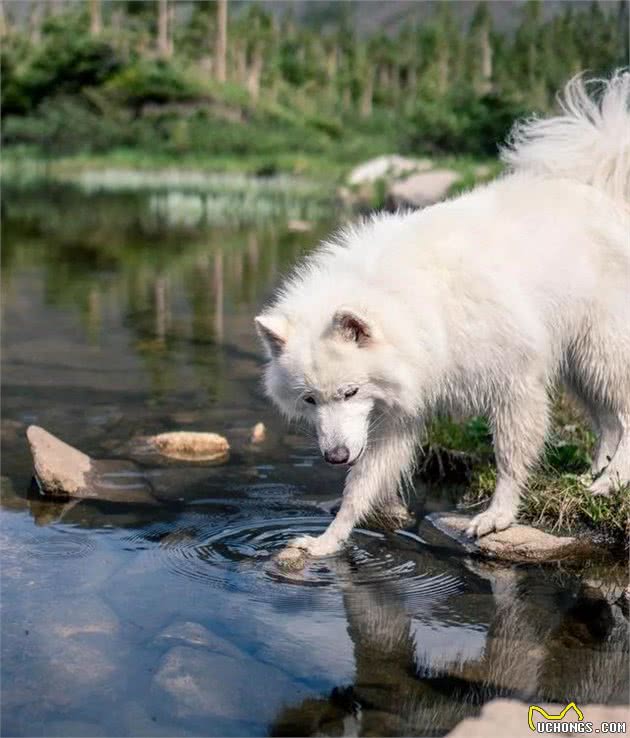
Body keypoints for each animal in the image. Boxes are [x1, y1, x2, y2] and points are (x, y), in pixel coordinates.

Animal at [254, 75, 628, 556]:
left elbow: (510, 458)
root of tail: (605, 192)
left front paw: (498, 515)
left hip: (602, 350)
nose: (334, 457)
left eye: (350, 391)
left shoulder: (516, 383)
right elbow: (360, 487)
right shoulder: (395, 417)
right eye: (309, 400)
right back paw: (593, 475)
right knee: (608, 422)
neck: (413, 304)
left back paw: (613, 479)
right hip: (581, 364)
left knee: (624, 416)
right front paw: (327, 541)